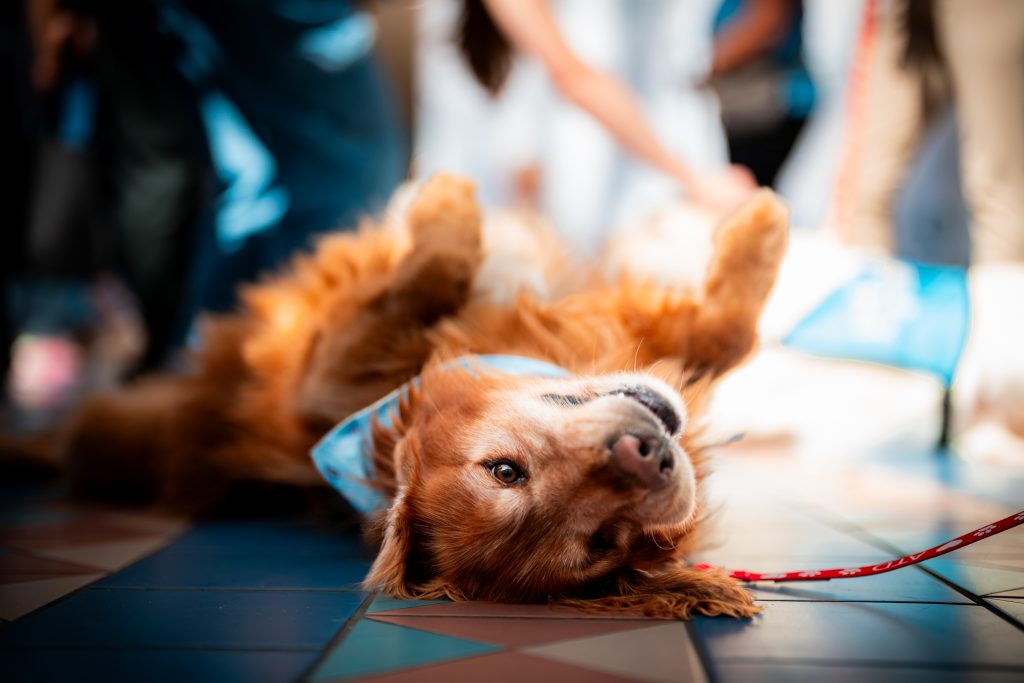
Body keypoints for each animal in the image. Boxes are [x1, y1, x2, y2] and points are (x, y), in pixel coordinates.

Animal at [54, 175, 790, 618]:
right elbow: (435, 268)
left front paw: (759, 230)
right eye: (506, 472)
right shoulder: (323, 368)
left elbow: (731, 333)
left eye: (611, 538)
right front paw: (447, 207)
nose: (650, 456)